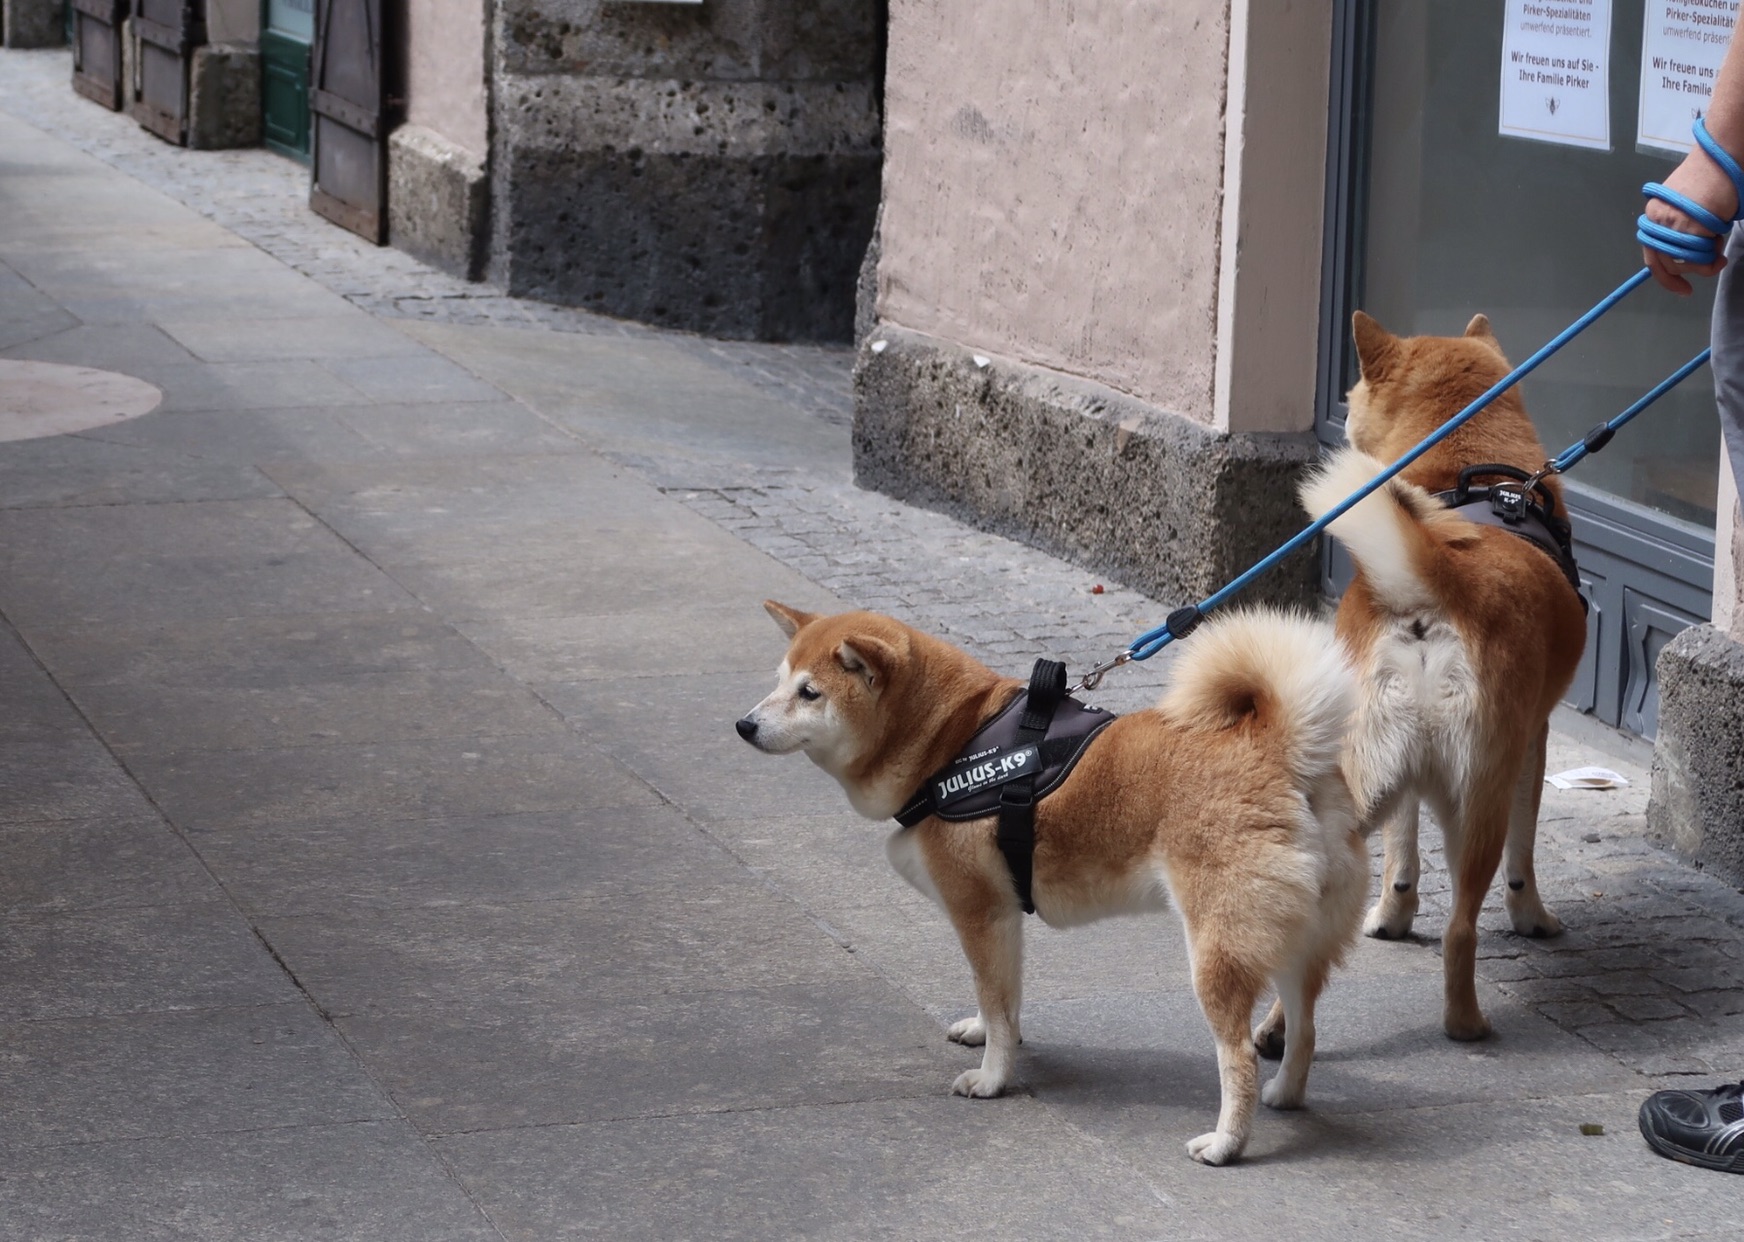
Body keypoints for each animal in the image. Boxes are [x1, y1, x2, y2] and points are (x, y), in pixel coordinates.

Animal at [728, 600, 1367, 1165]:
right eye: (780, 681)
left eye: (810, 693)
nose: (743, 724)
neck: (951, 740)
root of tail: (1282, 753)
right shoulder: (1002, 914)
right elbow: (1002, 999)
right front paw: (989, 1036)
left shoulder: (978, 912)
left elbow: (996, 999)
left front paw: (992, 1080)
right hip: (1293, 944)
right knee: (1305, 1030)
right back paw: (1286, 1094)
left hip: (1219, 951)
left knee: (1238, 1058)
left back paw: (1226, 1144)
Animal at [1297, 310, 1597, 1046]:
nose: (1342, 411)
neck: (1470, 467)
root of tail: (1437, 583)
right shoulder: (1533, 743)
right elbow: (1525, 855)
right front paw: (1533, 918)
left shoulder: (1405, 785)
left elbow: (1402, 860)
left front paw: (1391, 918)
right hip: (1478, 799)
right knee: (1463, 928)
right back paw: (1466, 1023)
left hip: (1365, 775)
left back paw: (1275, 1034)